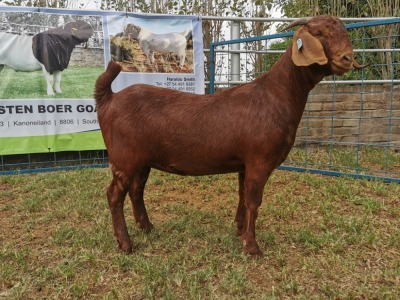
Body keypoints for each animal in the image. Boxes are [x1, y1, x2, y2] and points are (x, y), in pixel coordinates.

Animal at [95, 15, 364, 255]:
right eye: (318, 34)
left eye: (344, 32)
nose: (347, 58)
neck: (276, 94)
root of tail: (109, 98)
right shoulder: (259, 160)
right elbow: (254, 200)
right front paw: (252, 247)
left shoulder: (245, 162)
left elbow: (243, 195)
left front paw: (239, 229)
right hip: (124, 159)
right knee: (114, 195)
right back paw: (126, 244)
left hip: (142, 160)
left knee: (136, 190)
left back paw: (147, 227)